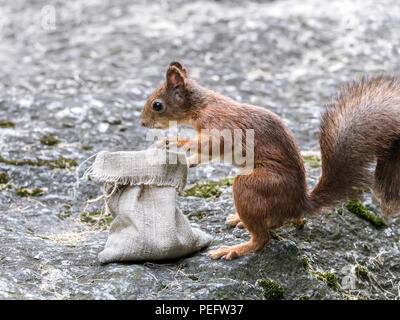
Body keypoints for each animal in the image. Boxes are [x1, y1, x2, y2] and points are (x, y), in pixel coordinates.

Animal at [140, 62, 400, 260]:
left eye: (157, 105)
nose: (142, 123)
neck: (202, 105)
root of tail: (298, 203)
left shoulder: (221, 127)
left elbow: (211, 145)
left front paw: (174, 141)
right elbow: (207, 153)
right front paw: (191, 160)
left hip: (254, 186)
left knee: (262, 239)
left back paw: (234, 249)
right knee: (274, 224)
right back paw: (239, 220)